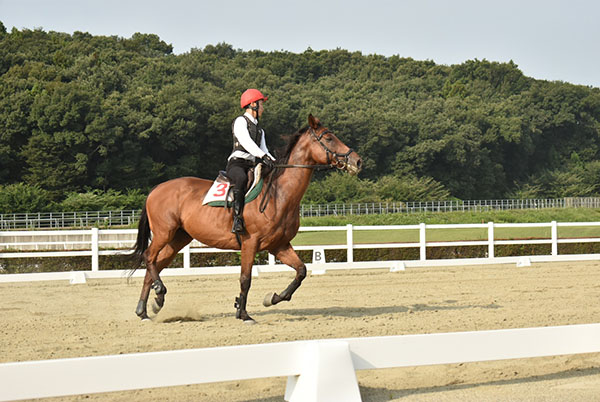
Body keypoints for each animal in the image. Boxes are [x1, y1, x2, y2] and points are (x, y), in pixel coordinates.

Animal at [130, 114, 362, 323]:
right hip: (164, 232)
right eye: (329, 138)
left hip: (178, 238)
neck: (279, 194)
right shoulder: (250, 244)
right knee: (149, 257)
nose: (357, 161)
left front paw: (273, 298)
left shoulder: (279, 245)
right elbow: (245, 279)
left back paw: (147, 308)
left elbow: (301, 271)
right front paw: (243, 314)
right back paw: (158, 292)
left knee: (155, 265)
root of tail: (156, 189)